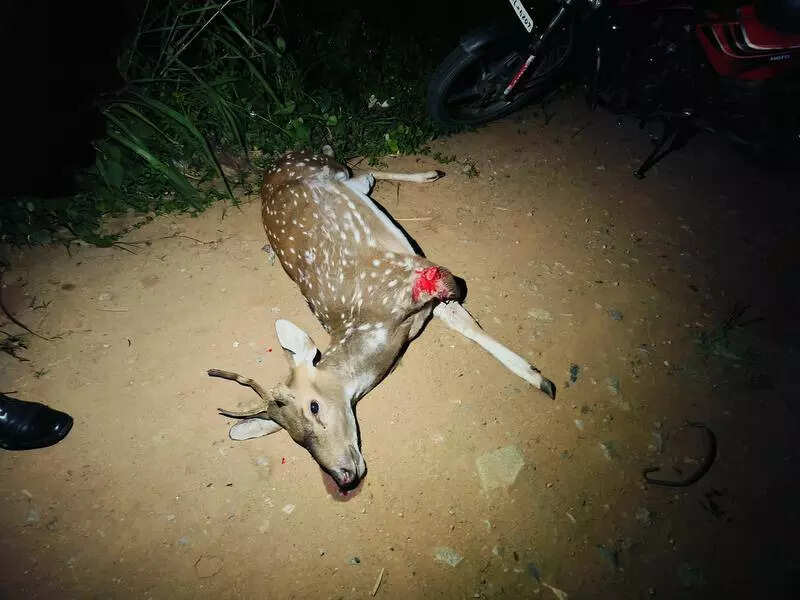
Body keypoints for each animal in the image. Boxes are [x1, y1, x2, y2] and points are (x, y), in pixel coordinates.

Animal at [208, 148, 555, 491]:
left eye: (314, 406)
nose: (343, 477)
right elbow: (467, 325)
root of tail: (278, 161)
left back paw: (432, 173)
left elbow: (467, 319)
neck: (383, 328)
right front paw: (540, 378)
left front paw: (540, 378)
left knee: (362, 171)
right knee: (366, 176)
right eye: (296, 439)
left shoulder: (424, 274)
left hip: (327, 165)